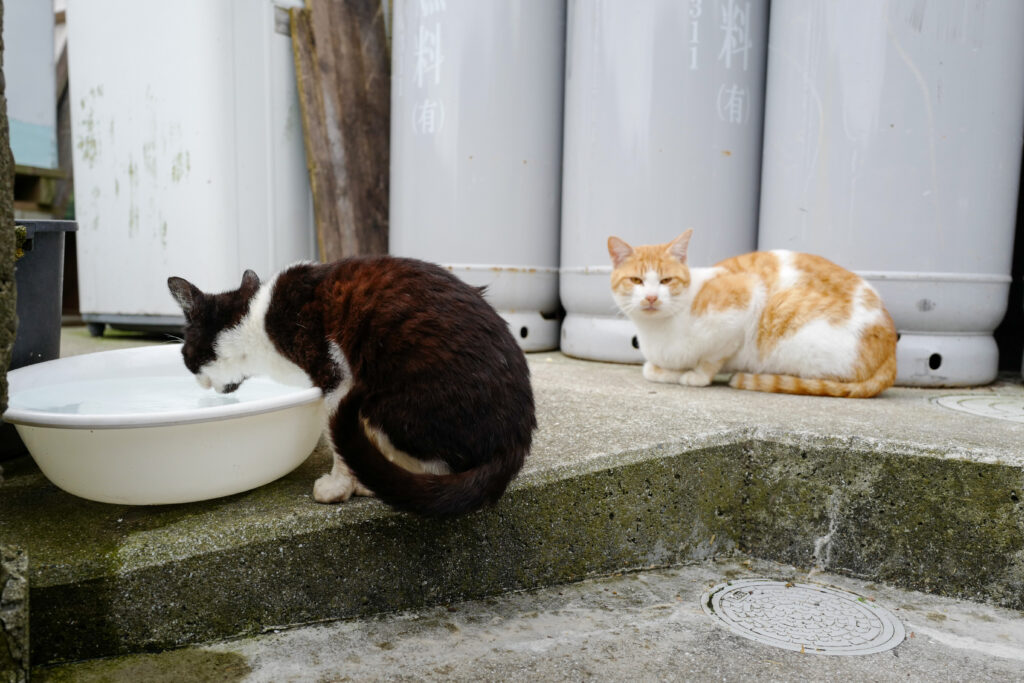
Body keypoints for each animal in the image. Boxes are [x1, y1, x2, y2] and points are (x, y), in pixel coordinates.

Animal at [167, 258, 536, 518]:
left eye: (185, 353)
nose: (197, 380)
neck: (256, 319)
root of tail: (515, 439)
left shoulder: (336, 378)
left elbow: (337, 443)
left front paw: (340, 487)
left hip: (391, 400)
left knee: (437, 467)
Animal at [606, 231, 897, 397]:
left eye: (666, 280)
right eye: (636, 280)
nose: (652, 297)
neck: (657, 330)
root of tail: (892, 348)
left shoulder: (746, 297)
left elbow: (710, 360)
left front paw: (695, 376)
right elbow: (652, 370)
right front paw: (669, 372)